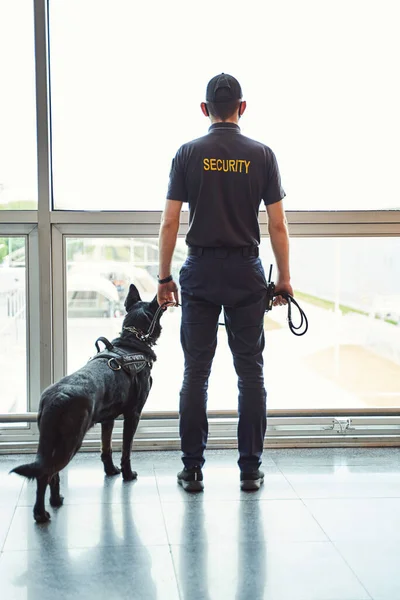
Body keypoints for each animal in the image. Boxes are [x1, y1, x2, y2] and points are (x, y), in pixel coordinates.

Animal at [11, 284, 164, 524]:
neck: (132, 343)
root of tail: (55, 399)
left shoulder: (108, 420)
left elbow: (106, 448)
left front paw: (110, 471)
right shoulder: (133, 415)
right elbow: (126, 450)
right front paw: (128, 474)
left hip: (52, 442)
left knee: (51, 472)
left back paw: (56, 500)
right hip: (71, 442)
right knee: (45, 473)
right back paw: (40, 513)